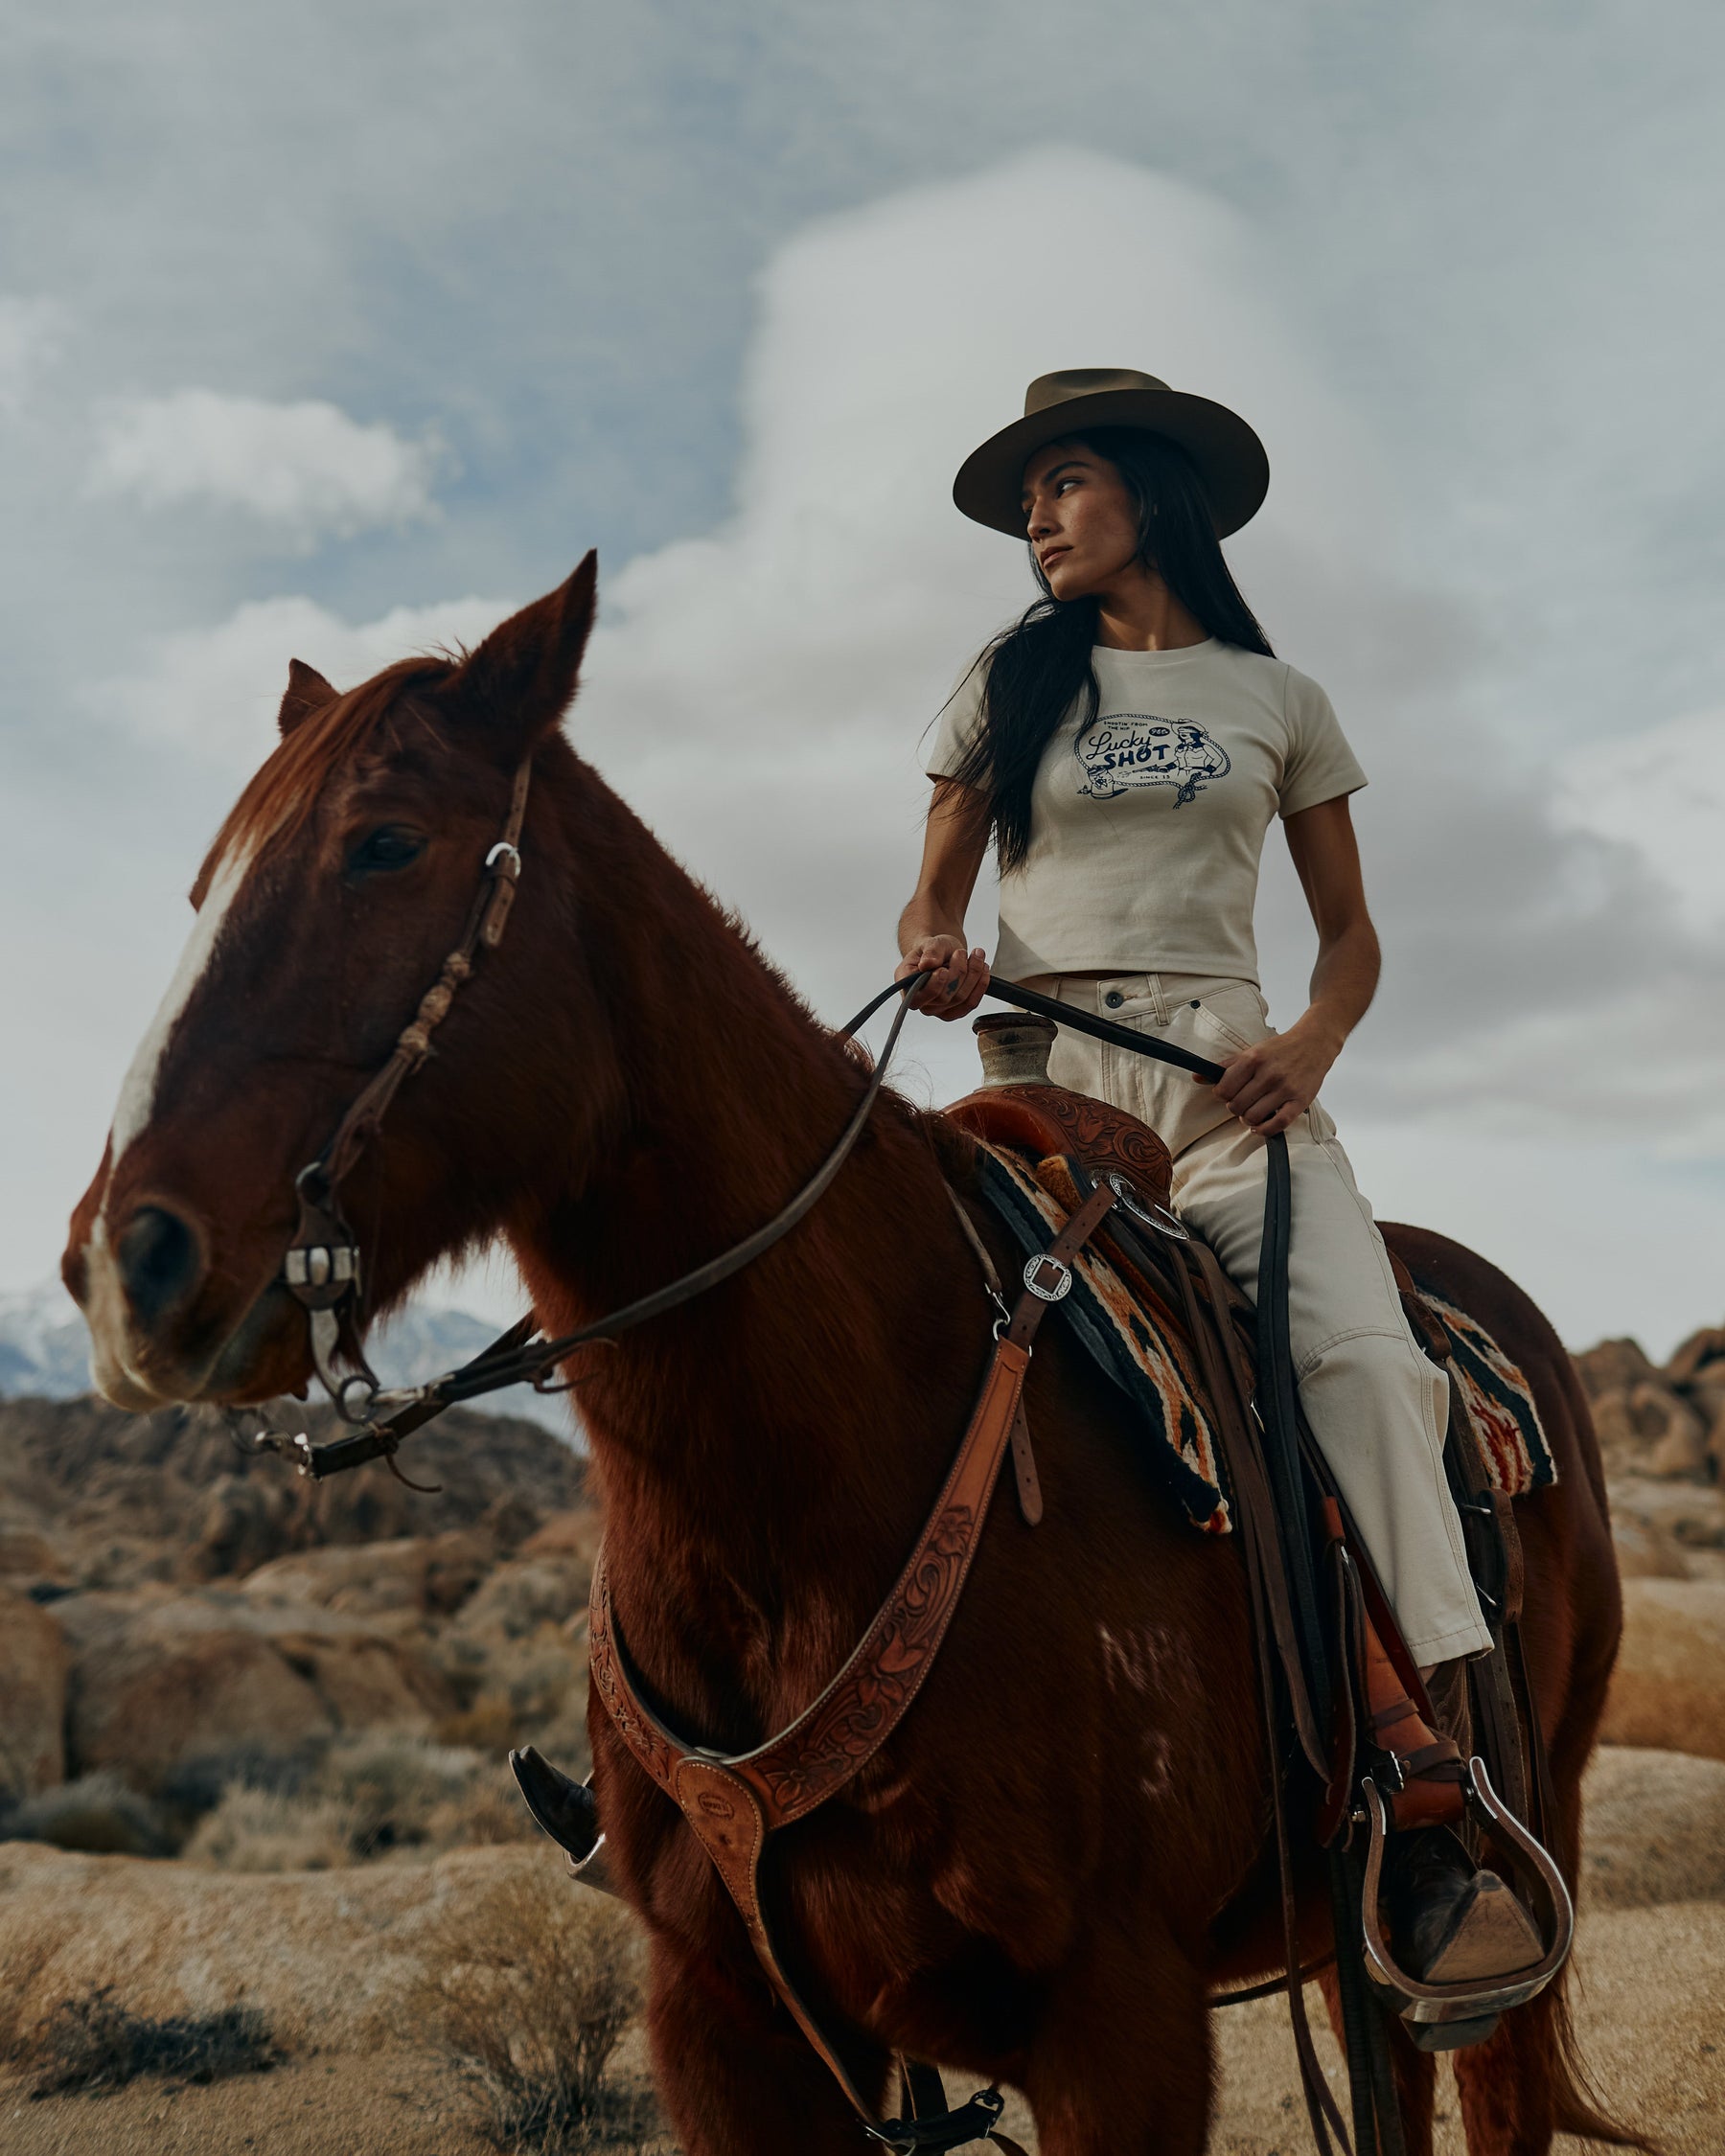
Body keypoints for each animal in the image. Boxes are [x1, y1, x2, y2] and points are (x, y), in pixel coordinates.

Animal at [67, 561, 1630, 2156]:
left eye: (385, 843)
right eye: (202, 884)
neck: (797, 1493)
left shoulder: (1121, 2019)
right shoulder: (724, 2022)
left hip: (1531, 1836)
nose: (128, 1265)